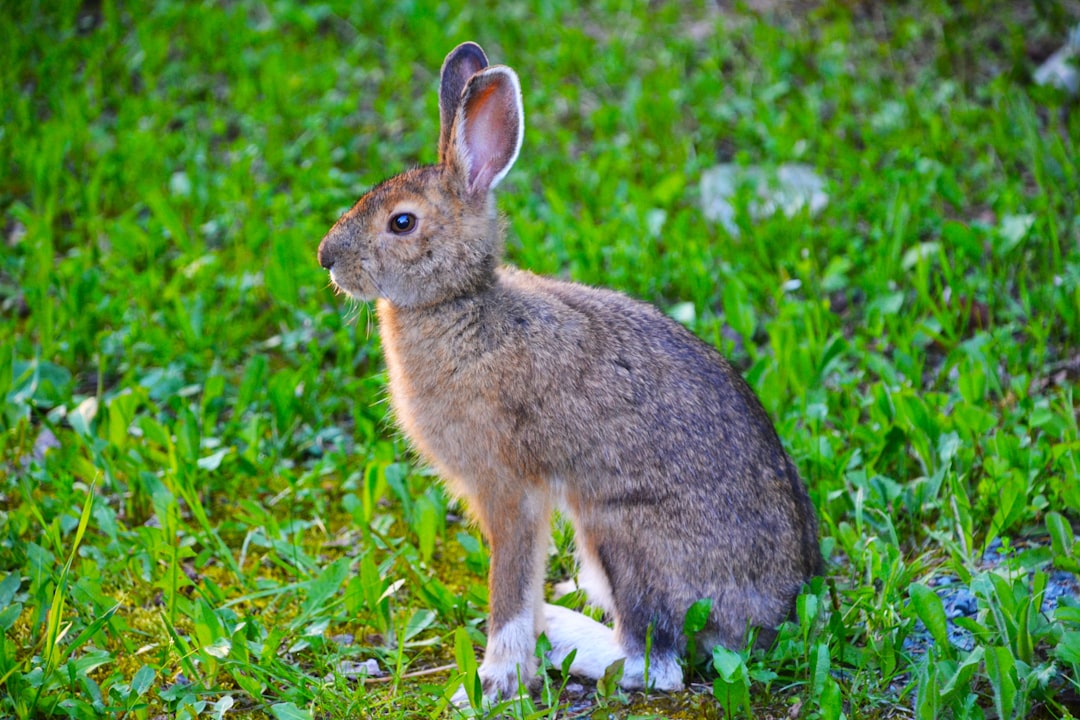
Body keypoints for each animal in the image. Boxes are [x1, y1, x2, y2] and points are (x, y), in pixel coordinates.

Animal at [315, 42, 820, 708]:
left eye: (402, 223)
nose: (326, 257)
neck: (460, 304)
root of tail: (774, 615)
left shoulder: (510, 490)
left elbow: (509, 591)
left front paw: (492, 682)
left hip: (622, 534)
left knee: (655, 662)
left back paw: (570, 640)